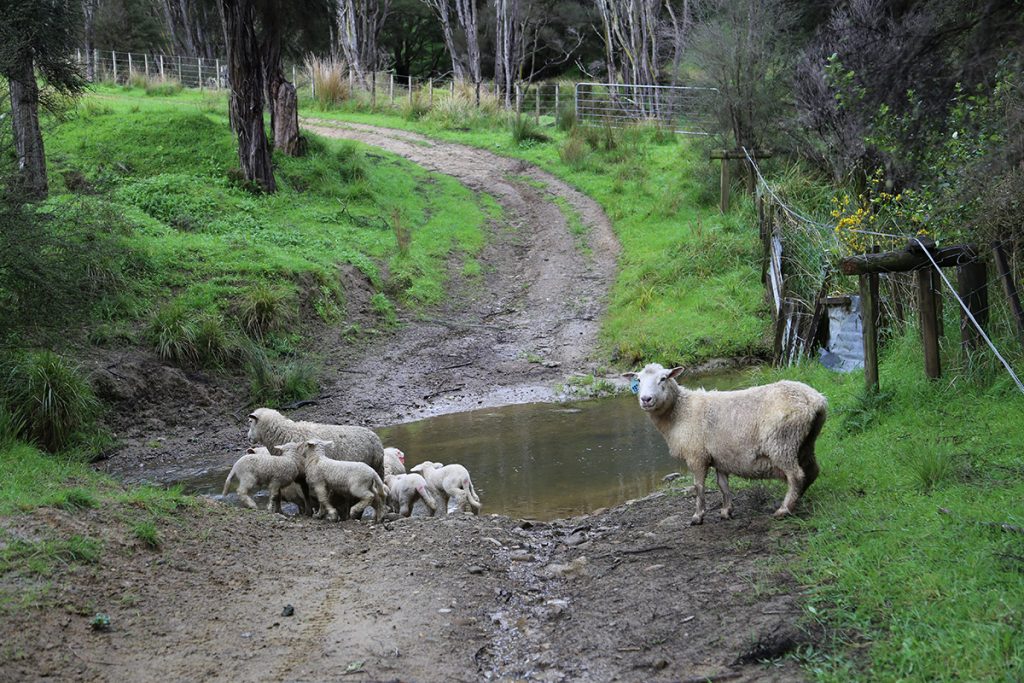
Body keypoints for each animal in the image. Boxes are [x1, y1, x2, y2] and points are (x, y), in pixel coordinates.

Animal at [623, 363, 827, 525]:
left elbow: (698, 487)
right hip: (805, 442)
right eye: (638, 380)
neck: (680, 411)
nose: (646, 399)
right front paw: (726, 511)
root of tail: (816, 400)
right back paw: (796, 500)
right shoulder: (720, 457)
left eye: (663, 378)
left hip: (782, 443)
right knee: (812, 471)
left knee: (796, 475)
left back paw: (784, 510)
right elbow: (723, 485)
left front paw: (698, 516)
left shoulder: (697, 455)